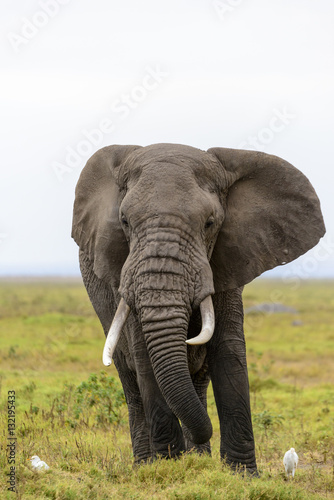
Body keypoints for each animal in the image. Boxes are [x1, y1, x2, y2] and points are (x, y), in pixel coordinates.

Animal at [72, 144, 324, 472]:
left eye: (210, 223)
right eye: (124, 221)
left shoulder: (229, 259)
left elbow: (229, 350)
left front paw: (241, 474)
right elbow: (145, 355)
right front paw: (170, 468)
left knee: (198, 380)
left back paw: (198, 456)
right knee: (130, 381)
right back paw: (146, 464)